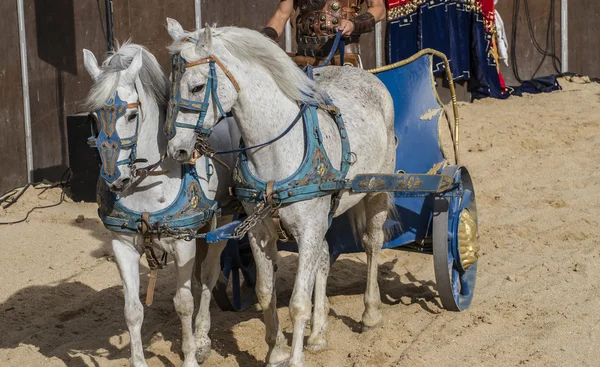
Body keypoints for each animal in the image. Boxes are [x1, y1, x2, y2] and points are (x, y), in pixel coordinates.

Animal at [81, 41, 239, 366]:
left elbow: (184, 303)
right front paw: (138, 360)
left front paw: (190, 356)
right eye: (94, 116)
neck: (148, 184)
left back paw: (202, 339)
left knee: (208, 277)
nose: (114, 179)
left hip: (223, 223)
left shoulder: (183, 243)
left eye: (131, 116)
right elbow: (132, 310)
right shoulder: (123, 246)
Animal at [165, 19, 398, 367]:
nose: (176, 149)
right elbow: (265, 291)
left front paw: (295, 358)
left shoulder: (309, 226)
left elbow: (299, 302)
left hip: (376, 192)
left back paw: (370, 313)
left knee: (372, 243)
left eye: (196, 87)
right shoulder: (260, 229)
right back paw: (317, 334)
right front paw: (276, 351)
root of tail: (365, 75)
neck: (275, 149)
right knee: (324, 256)